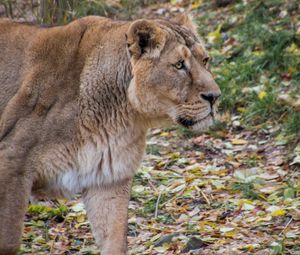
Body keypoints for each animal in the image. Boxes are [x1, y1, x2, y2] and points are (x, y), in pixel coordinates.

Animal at [0, 14, 220, 254]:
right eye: (179, 65)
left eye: (205, 60)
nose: (215, 96)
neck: (123, 115)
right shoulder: (12, 165)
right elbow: (8, 241)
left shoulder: (108, 179)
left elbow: (114, 240)